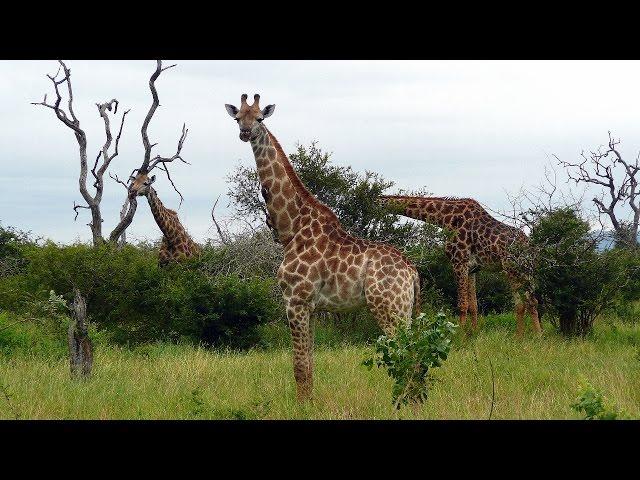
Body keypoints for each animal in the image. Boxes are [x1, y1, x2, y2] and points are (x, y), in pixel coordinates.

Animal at [225, 94, 420, 402]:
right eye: (237, 118)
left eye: (260, 118)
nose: (245, 133)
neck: (292, 229)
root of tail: (412, 272)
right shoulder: (313, 307)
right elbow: (310, 364)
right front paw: (310, 403)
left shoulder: (295, 300)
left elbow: (299, 366)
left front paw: (302, 406)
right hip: (404, 309)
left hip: (389, 307)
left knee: (408, 355)